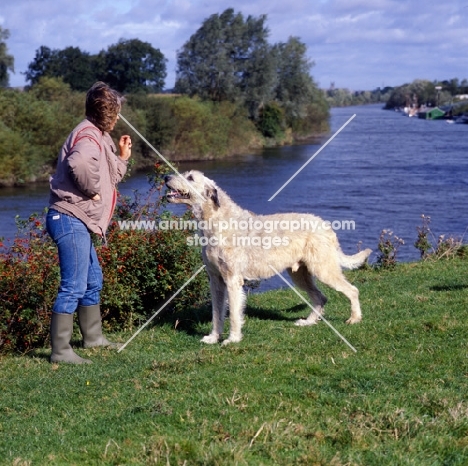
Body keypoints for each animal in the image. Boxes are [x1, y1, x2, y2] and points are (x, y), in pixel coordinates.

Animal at [166, 171, 372, 346]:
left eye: (190, 177)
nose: (166, 177)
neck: (216, 220)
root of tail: (326, 226)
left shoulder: (232, 279)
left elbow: (233, 313)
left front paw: (232, 339)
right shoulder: (216, 280)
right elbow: (217, 312)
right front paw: (213, 337)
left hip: (323, 269)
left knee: (352, 290)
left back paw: (354, 318)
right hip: (300, 275)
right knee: (320, 297)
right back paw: (308, 322)